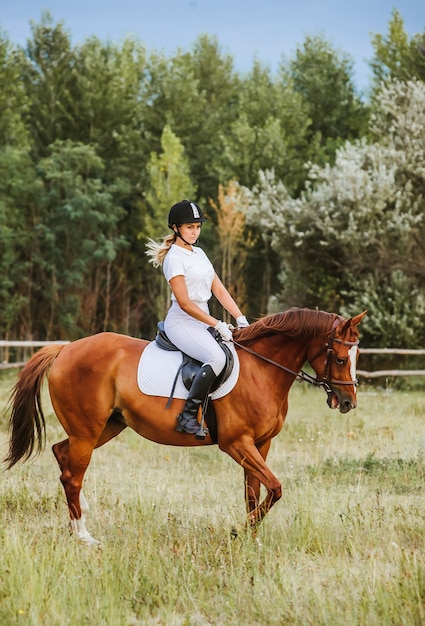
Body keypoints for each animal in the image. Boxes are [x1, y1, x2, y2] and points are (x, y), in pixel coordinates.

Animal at [4, 308, 364, 540]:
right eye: (340, 358)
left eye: (356, 357)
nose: (348, 403)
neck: (261, 369)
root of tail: (65, 349)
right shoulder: (236, 443)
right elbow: (275, 487)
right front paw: (240, 530)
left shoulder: (261, 444)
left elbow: (254, 492)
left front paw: (250, 536)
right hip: (87, 431)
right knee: (72, 475)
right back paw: (83, 534)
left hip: (105, 427)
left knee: (62, 454)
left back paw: (78, 518)